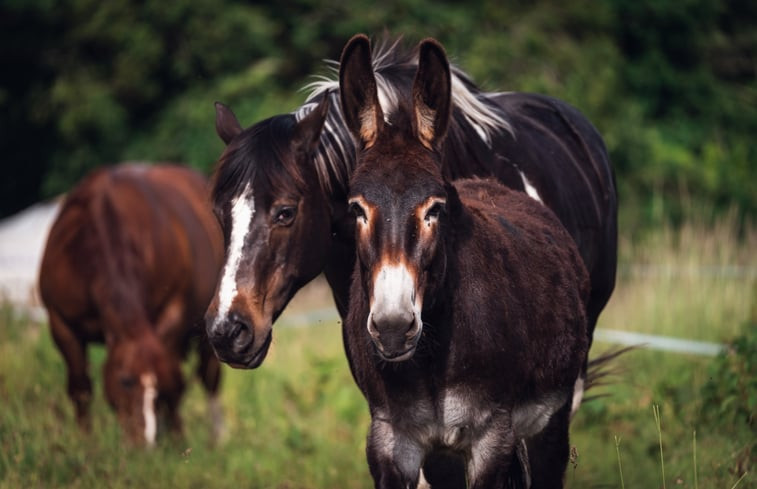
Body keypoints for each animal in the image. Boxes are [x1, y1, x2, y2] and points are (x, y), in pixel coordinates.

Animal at [39, 163, 224, 442]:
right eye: (125, 381)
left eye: (156, 383)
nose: (143, 441)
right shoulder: (60, 322)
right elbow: (80, 387)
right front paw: (85, 440)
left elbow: (175, 382)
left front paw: (177, 441)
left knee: (208, 376)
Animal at [340, 37, 588, 488]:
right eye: (356, 209)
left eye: (435, 209)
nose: (393, 328)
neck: (431, 360)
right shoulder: (390, 437)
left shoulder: (492, 435)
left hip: (552, 417)